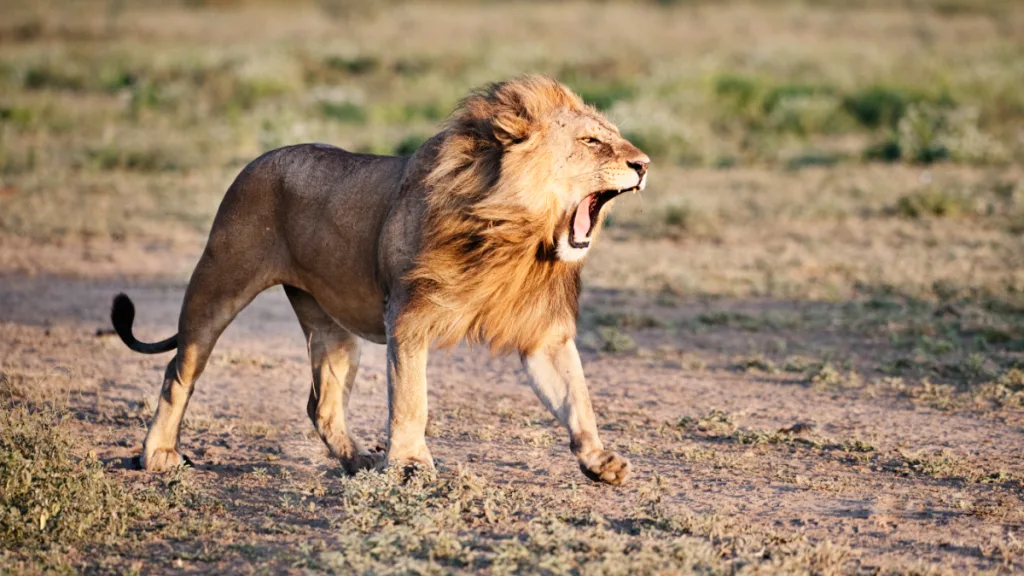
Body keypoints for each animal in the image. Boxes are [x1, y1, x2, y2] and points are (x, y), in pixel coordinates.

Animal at [111, 75, 649, 485]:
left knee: (322, 405)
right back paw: (157, 455)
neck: (514, 237)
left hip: (331, 328)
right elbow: (411, 401)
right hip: (218, 283)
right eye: (591, 142)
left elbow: (576, 397)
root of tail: (260, 158)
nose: (643, 165)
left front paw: (598, 460)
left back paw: (359, 462)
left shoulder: (543, 333)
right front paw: (410, 464)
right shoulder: (408, 318)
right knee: (179, 371)